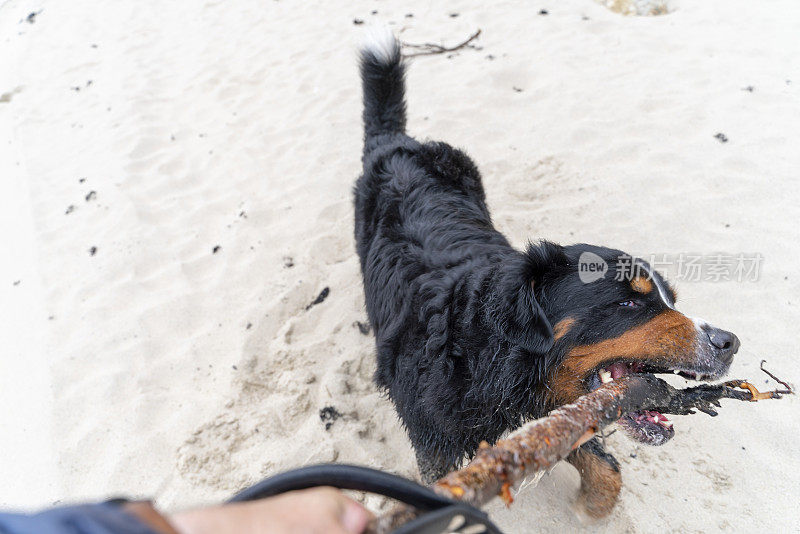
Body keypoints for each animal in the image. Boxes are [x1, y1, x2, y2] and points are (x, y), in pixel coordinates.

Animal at [354, 29, 740, 520]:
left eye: (670, 299)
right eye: (629, 301)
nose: (729, 342)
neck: (487, 359)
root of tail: (398, 143)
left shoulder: (557, 411)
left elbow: (606, 469)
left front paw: (589, 509)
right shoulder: (435, 440)